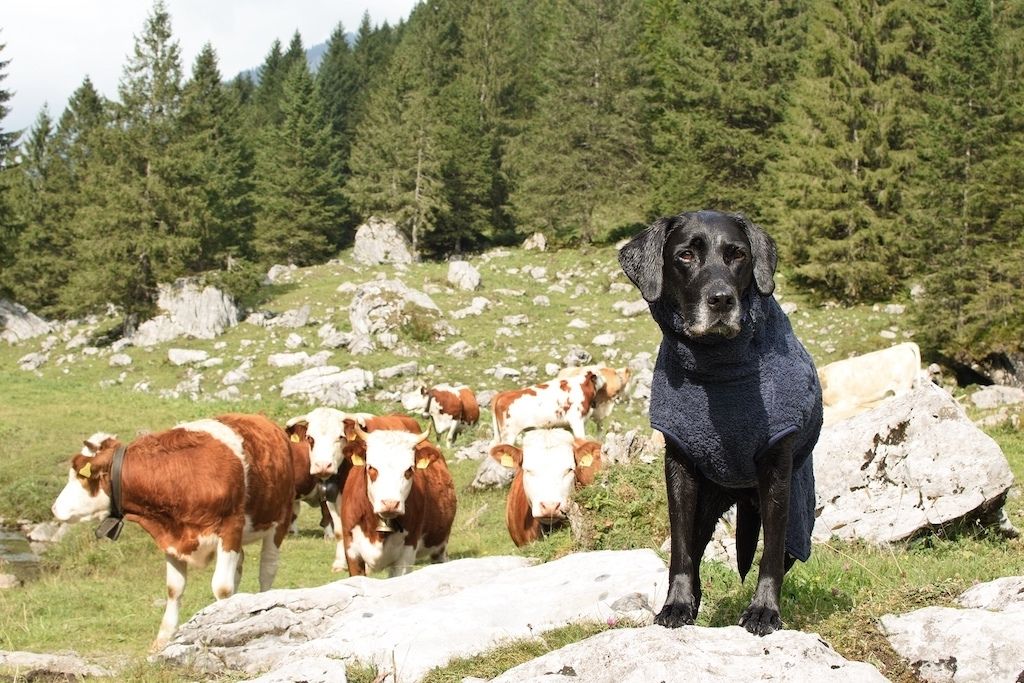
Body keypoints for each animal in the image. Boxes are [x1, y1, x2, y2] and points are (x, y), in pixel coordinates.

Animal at [49, 413, 294, 651]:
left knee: (267, 570)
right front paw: (162, 640)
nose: (54, 508)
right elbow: (174, 589)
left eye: (80, 476)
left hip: (279, 521)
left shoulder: (230, 529)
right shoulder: (171, 538)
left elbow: (222, 588)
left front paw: (220, 622)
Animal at [284, 409, 423, 573]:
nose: (323, 465)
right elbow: (339, 532)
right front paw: (339, 563)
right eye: (310, 438)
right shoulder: (332, 499)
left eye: (340, 436)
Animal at [339, 421, 456, 577]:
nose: (390, 503)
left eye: (409, 469)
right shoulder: (352, 551)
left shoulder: (406, 555)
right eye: (371, 467)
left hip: (440, 546)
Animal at [614, 210, 823, 638]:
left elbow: (771, 554)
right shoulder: (679, 468)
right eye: (686, 255)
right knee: (694, 553)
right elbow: (681, 551)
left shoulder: (778, 473)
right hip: (707, 502)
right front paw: (676, 605)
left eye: (738, 254)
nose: (722, 299)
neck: (717, 369)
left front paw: (764, 611)